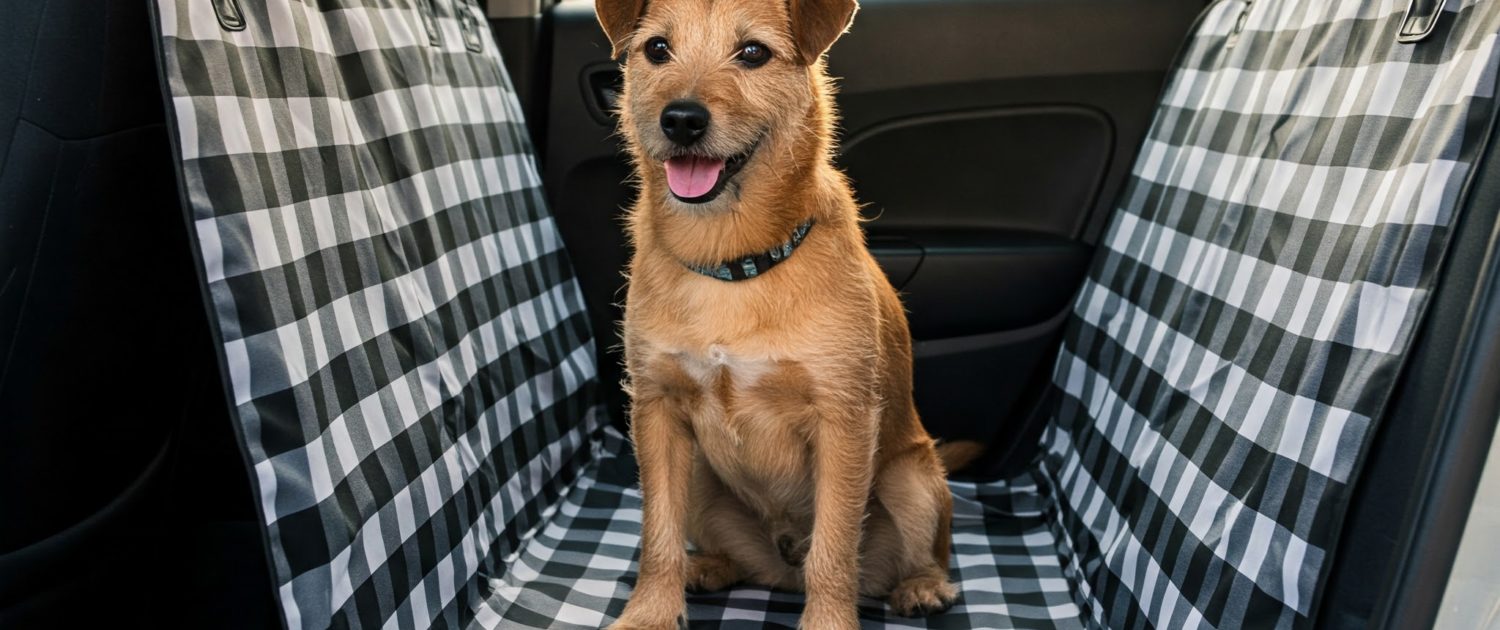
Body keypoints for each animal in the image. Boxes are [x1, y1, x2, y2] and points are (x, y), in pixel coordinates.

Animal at [597, 2, 984, 627]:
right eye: (656, 49)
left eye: (753, 53)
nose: (681, 120)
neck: (732, 261)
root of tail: (782, 563)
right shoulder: (656, 410)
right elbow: (658, 533)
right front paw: (649, 613)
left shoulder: (843, 420)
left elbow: (834, 547)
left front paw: (829, 620)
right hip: (701, 477)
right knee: (735, 555)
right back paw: (711, 566)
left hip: (912, 479)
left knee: (919, 553)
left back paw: (922, 586)